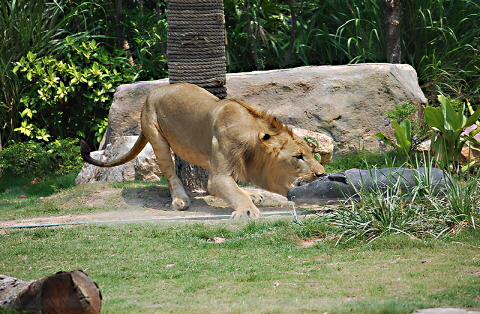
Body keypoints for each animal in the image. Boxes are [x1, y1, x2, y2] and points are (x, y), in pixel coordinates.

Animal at [80, 83, 324, 218]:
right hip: (156, 134)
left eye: (311, 154)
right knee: (170, 173)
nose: (321, 173)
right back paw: (180, 200)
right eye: (298, 157)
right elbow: (232, 191)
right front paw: (246, 210)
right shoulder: (219, 177)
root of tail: (152, 93)